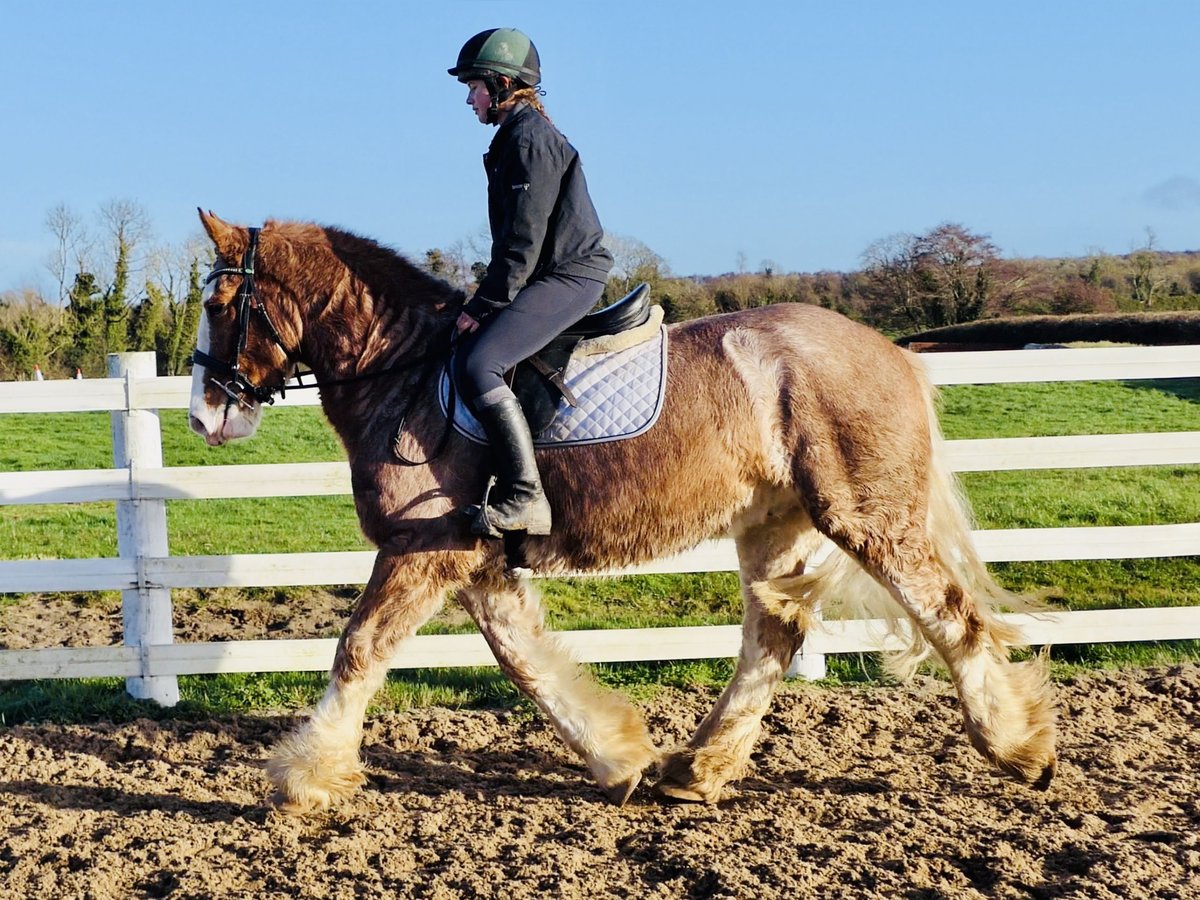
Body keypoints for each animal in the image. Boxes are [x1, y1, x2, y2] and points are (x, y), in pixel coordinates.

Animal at [188, 210, 1056, 813]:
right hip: (773, 526)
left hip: (868, 518)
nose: (203, 415)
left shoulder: (421, 547)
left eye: (224, 301)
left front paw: (305, 779)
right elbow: (525, 661)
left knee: (951, 619)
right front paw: (617, 758)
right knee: (774, 635)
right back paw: (694, 769)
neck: (404, 373)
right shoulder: (475, 560)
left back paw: (1019, 748)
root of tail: (893, 351)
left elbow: (360, 649)